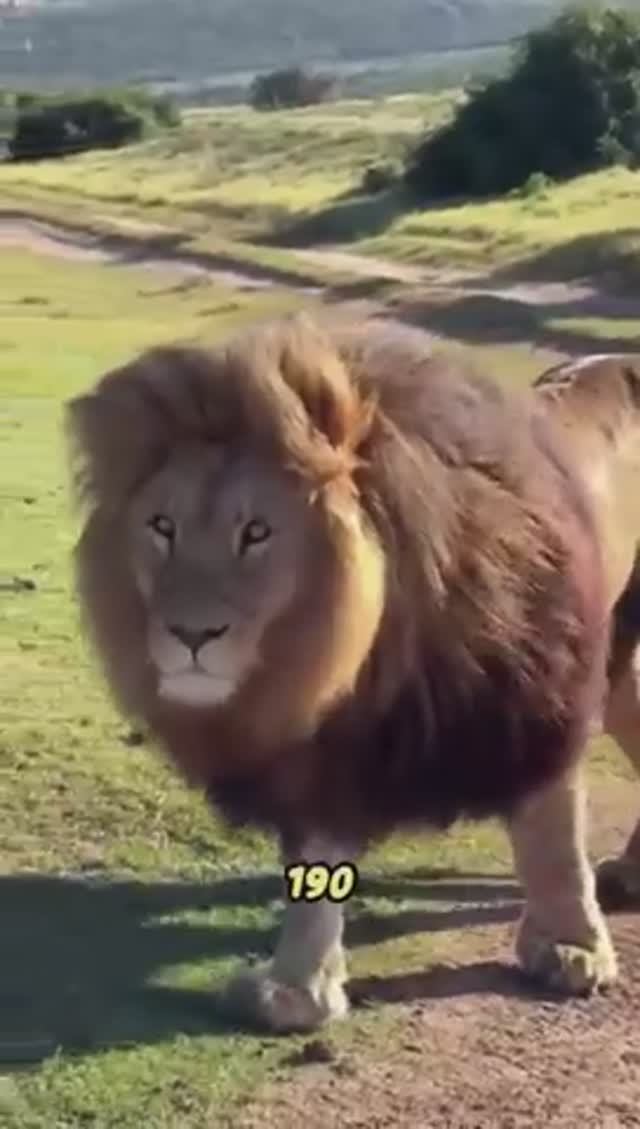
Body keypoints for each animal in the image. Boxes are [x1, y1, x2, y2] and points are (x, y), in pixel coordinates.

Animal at [66, 314, 637, 1034]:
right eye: (161, 526)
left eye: (257, 532)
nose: (190, 635)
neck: (360, 656)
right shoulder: (330, 753)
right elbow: (317, 866)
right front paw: (297, 989)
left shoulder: (540, 705)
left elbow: (554, 838)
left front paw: (572, 948)